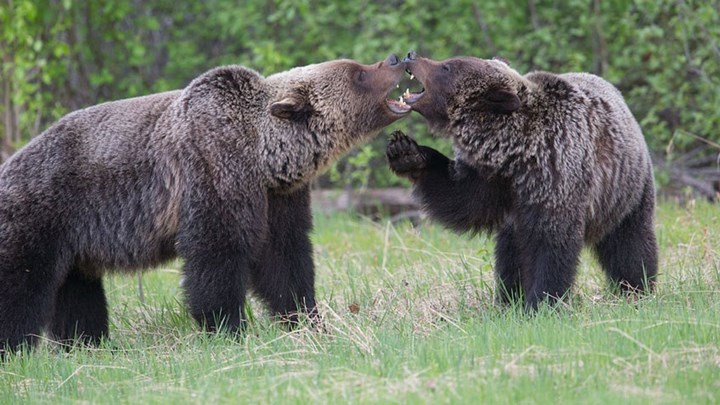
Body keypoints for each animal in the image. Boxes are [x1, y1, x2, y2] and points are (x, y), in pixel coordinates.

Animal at [0, 54, 414, 354]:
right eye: (358, 73)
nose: (398, 58)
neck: (264, 157)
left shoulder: (279, 198)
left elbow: (285, 260)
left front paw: (306, 320)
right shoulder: (213, 171)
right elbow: (217, 256)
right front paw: (229, 328)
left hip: (75, 246)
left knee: (77, 295)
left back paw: (87, 345)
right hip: (40, 215)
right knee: (21, 288)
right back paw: (18, 351)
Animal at [388, 51, 660, 310]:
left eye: (446, 66)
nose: (411, 56)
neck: (516, 153)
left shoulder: (556, 173)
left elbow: (550, 246)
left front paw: (541, 302)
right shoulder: (491, 177)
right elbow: (461, 199)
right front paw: (406, 152)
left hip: (625, 191)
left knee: (630, 243)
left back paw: (636, 287)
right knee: (510, 253)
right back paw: (509, 296)